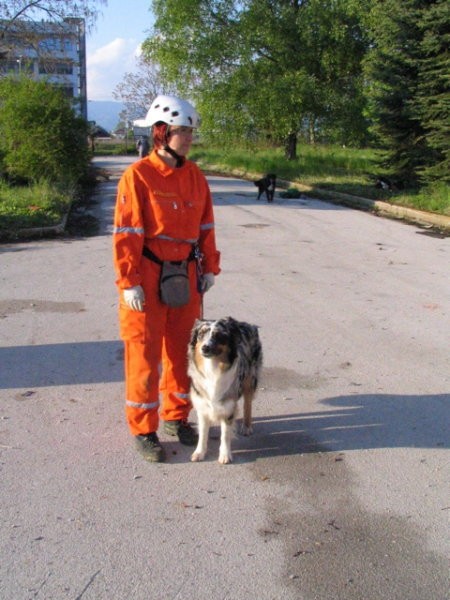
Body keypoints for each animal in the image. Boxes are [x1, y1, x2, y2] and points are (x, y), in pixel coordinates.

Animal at [187, 318, 264, 464]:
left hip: (249, 379)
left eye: (218, 335)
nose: (205, 347)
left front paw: (225, 455)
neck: (212, 368)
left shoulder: (228, 407)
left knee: (247, 405)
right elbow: (203, 433)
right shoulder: (202, 406)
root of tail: (247, 324)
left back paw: (246, 427)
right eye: (201, 334)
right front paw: (199, 452)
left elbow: (225, 435)